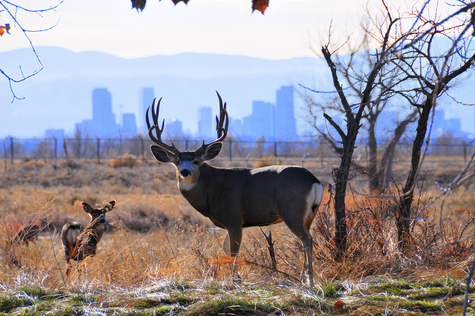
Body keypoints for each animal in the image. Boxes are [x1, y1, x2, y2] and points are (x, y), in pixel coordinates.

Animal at [148, 92, 328, 286]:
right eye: (177, 161)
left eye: (196, 161)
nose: (185, 172)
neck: (212, 189)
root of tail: (314, 181)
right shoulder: (229, 223)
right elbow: (226, 248)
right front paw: (234, 276)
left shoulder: (234, 217)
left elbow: (233, 251)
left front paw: (234, 278)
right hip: (309, 215)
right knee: (307, 238)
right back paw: (303, 278)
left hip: (291, 210)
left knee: (307, 238)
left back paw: (310, 281)